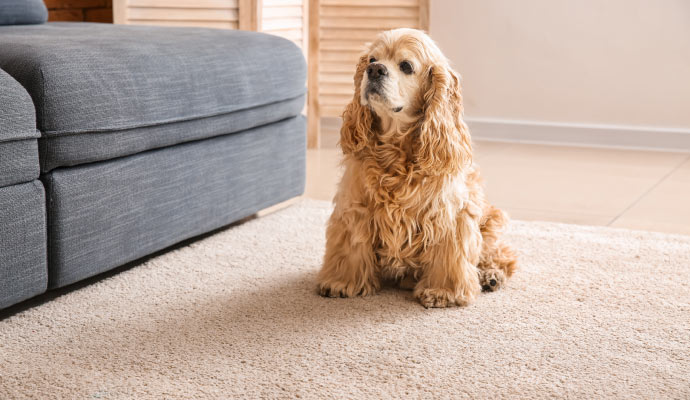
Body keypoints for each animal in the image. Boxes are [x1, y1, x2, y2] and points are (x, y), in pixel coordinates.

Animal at [318, 28, 516, 310]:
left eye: (406, 66)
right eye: (372, 59)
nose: (375, 70)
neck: (395, 151)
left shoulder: (450, 215)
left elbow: (450, 256)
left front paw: (443, 292)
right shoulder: (355, 207)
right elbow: (350, 247)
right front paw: (341, 282)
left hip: (490, 221)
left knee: (503, 254)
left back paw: (490, 275)